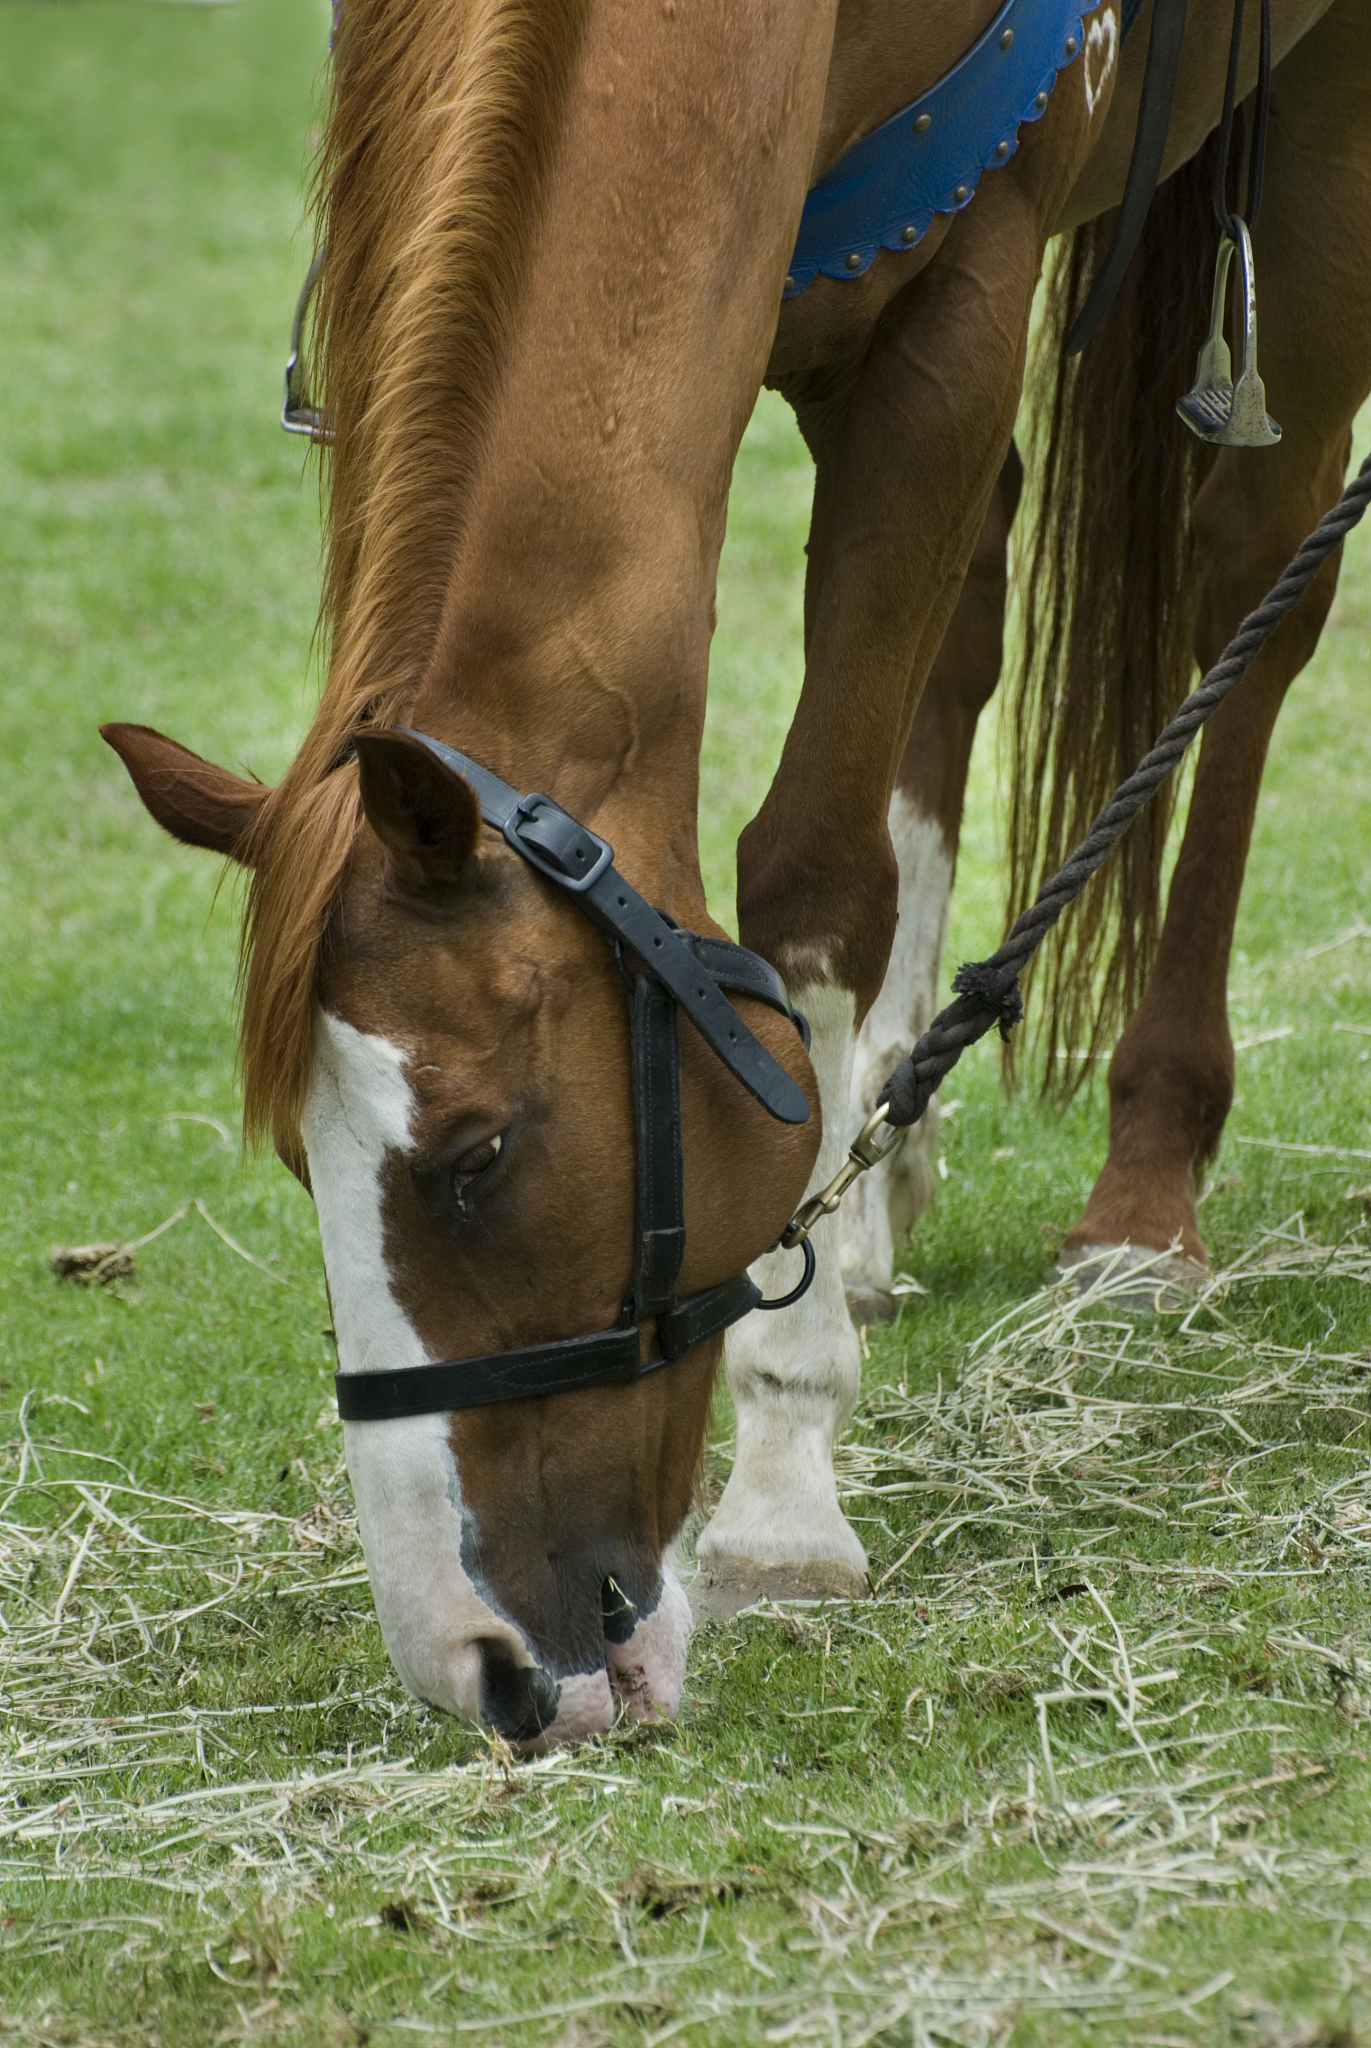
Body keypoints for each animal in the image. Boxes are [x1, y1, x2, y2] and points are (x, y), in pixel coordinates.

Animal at [102, 0, 1368, 1734]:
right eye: (302, 1166)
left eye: (474, 1157)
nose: (487, 1670)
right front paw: (844, 1204)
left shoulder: (946, 321)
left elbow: (815, 879)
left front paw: (784, 1477)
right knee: (972, 612)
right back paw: (887, 1157)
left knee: (1246, 577)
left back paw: (1139, 1188)